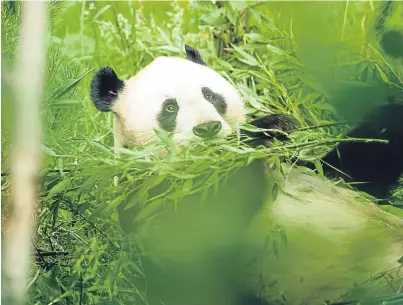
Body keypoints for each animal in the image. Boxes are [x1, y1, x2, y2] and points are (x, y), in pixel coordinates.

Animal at [90, 45, 403, 304]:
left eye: (210, 95)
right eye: (169, 108)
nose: (208, 129)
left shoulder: (298, 164)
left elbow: (352, 172)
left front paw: (276, 124)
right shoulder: (148, 197)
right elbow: (203, 230)